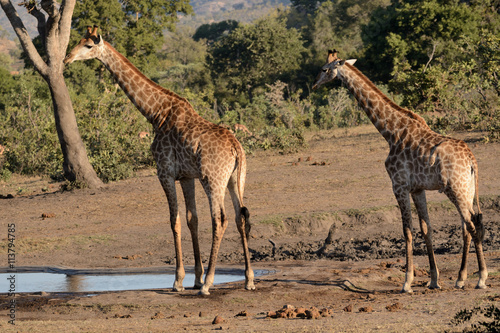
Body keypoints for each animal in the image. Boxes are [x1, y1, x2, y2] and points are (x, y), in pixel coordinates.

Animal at [64, 26, 256, 296]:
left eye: (88, 46)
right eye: (78, 40)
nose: (67, 58)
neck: (155, 114)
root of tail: (236, 147)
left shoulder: (164, 172)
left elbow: (174, 221)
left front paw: (179, 281)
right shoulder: (186, 176)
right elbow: (192, 219)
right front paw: (195, 277)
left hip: (212, 179)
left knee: (220, 219)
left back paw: (209, 284)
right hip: (235, 179)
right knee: (241, 217)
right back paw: (248, 279)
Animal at [310, 48, 486, 290]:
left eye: (324, 69)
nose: (313, 85)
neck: (391, 132)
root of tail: (472, 160)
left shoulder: (399, 185)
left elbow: (407, 231)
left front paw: (407, 282)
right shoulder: (417, 189)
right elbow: (426, 229)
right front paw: (433, 280)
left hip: (455, 189)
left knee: (472, 225)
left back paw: (481, 278)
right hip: (467, 189)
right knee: (468, 226)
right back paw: (460, 278)